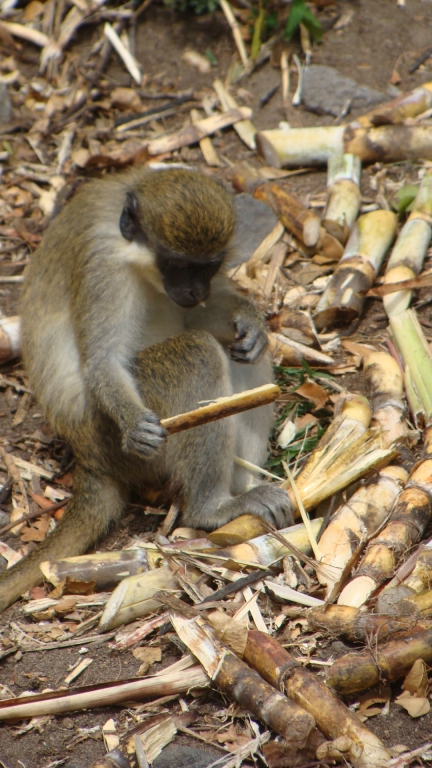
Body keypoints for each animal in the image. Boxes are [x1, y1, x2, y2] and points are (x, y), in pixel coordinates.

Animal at [0, 170, 294, 612]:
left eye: (208, 268)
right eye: (178, 265)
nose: (195, 291)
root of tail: (90, 458)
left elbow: (205, 322)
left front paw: (249, 318)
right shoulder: (103, 268)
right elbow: (104, 363)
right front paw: (134, 424)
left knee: (241, 359)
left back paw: (245, 487)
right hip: (111, 438)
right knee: (198, 354)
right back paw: (213, 508)